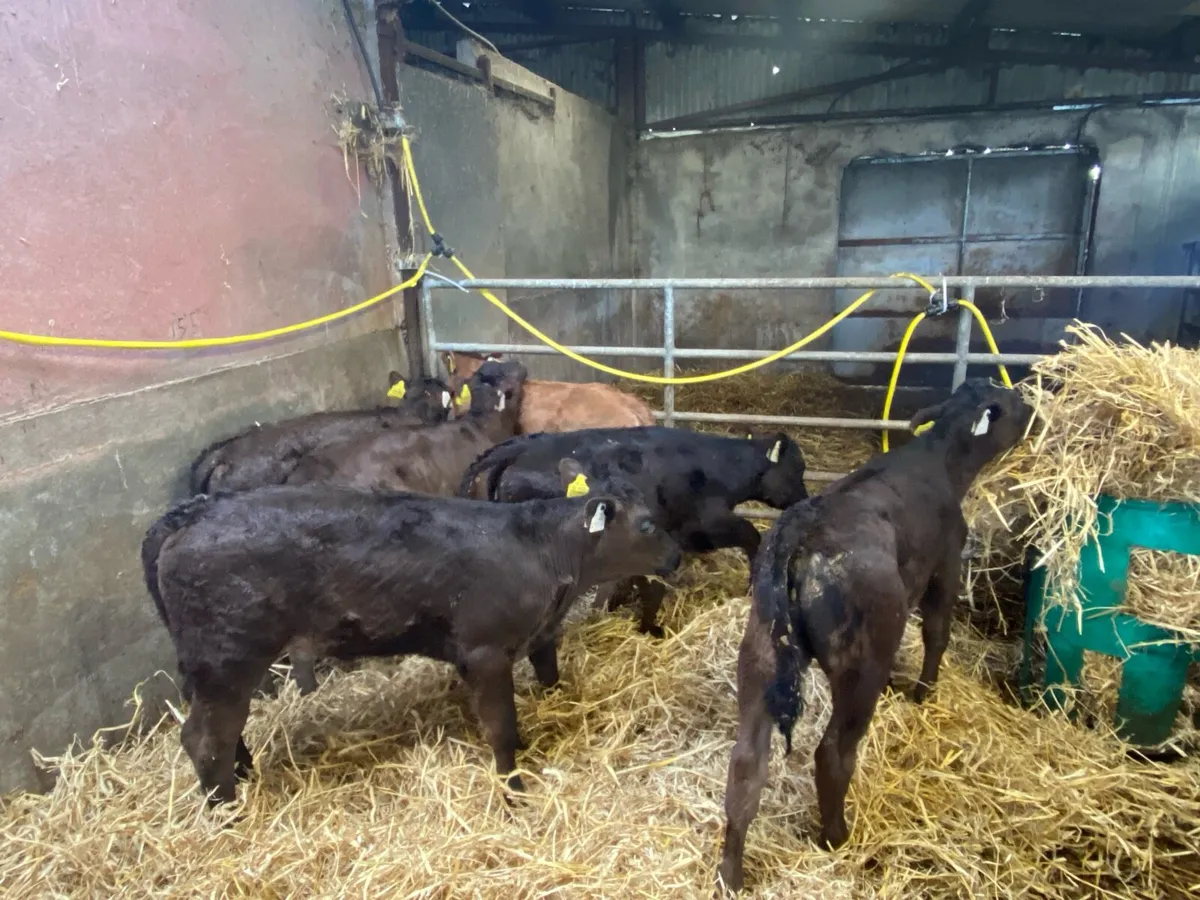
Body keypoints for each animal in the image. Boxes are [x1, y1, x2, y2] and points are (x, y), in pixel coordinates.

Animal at [140, 461, 682, 806]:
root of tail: (197, 510)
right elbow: (501, 727)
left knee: (223, 732)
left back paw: (244, 776)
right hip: (227, 657)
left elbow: (549, 679)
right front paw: (513, 789)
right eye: (648, 524)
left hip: (209, 666)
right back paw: (227, 811)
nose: (678, 555)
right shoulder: (483, 652)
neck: (544, 550)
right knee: (204, 738)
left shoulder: (540, 634)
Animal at [457, 426, 809, 636]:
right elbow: (751, 535)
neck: (719, 464)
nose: (804, 499)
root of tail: (525, 445)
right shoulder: (706, 524)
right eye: (797, 469)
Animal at [716, 379, 1033, 893]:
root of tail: (802, 533)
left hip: (760, 653)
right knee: (833, 752)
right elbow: (937, 632)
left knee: (747, 765)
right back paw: (837, 837)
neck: (939, 460)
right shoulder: (946, 565)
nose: (1034, 408)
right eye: (1011, 404)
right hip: (862, 663)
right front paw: (924, 693)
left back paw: (731, 874)